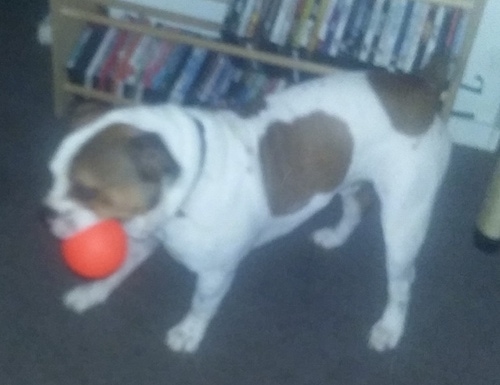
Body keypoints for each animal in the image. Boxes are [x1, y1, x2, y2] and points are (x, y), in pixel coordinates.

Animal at [43, 67, 452, 352]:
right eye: (52, 174)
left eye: (87, 190)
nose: (47, 213)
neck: (187, 179)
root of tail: (423, 89)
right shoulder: (144, 236)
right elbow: (116, 271)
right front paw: (92, 293)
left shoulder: (215, 273)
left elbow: (202, 304)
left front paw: (189, 332)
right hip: (347, 176)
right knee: (354, 206)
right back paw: (335, 236)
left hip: (403, 223)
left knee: (402, 281)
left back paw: (390, 326)